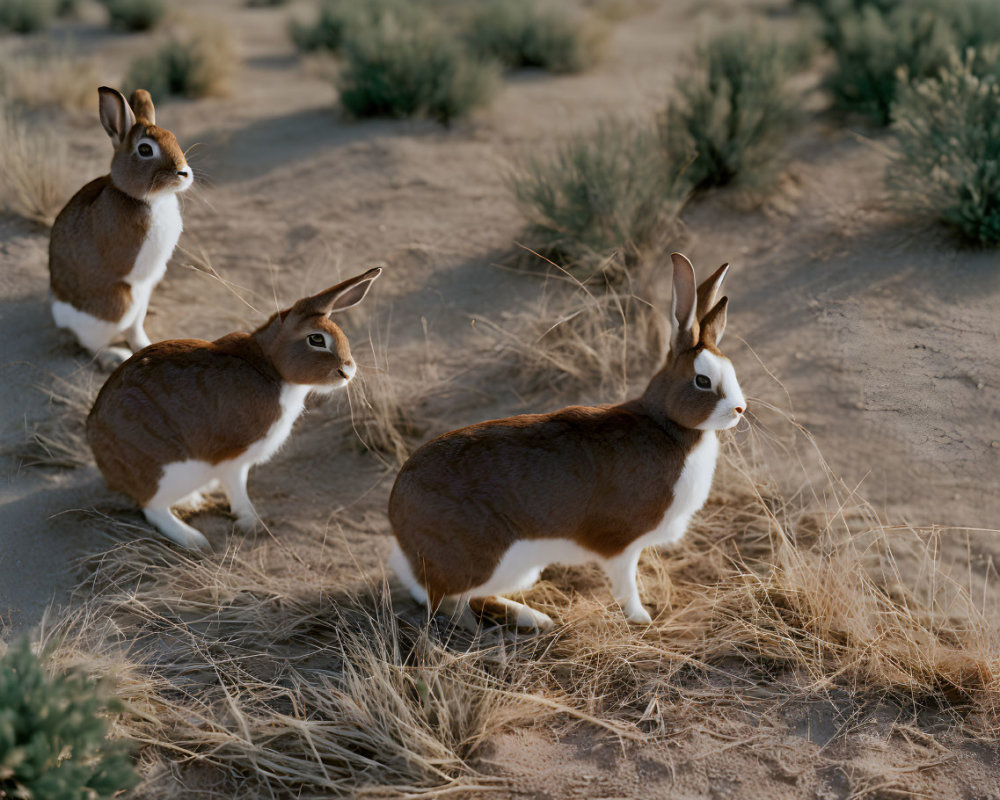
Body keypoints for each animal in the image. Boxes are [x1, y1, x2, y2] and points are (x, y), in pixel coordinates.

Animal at [49, 86, 193, 374]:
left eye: (173, 137)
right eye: (145, 149)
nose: (184, 173)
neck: (145, 199)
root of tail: (62, 318)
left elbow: (137, 331)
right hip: (119, 306)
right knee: (92, 345)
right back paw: (115, 357)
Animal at [88, 268, 382, 552]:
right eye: (316, 339)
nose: (348, 370)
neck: (271, 367)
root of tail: (102, 455)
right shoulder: (234, 459)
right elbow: (238, 489)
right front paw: (254, 524)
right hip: (167, 471)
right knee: (153, 509)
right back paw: (194, 541)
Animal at [388, 253, 744, 628]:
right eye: (703, 381)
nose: (740, 409)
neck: (665, 423)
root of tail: (397, 513)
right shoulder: (620, 545)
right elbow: (626, 584)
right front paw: (642, 619)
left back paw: (533, 618)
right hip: (489, 561)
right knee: (448, 602)